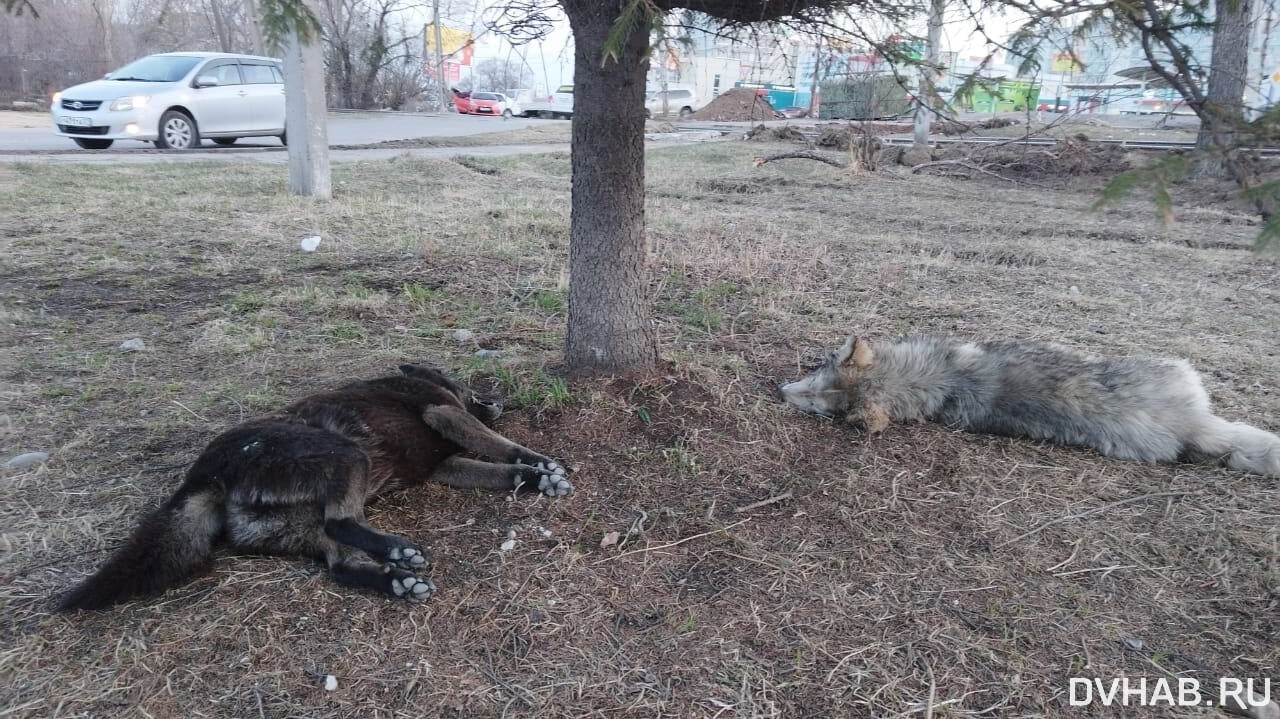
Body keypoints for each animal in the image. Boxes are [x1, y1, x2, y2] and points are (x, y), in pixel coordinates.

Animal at [60, 363, 570, 608]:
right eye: (462, 382)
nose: (496, 399)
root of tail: (207, 473)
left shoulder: (445, 464)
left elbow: (497, 470)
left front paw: (530, 479)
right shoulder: (442, 412)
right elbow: (499, 444)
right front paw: (539, 464)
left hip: (298, 521)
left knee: (337, 564)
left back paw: (395, 580)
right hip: (344, 455)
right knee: (341, 521)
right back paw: (399, 552)